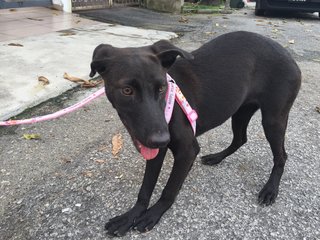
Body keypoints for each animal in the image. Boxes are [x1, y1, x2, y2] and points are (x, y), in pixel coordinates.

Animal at [89, 31, 302, 236]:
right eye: (127, 90)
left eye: (162, 88)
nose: (161, 139)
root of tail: (289, 56)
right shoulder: (157, 150)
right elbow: (146, 187)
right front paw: (132, 214)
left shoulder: (187, 151)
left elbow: (169, 189)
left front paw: (153, 214)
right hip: (240, 111)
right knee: (240, 139)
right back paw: (216, 157)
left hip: (273, 120)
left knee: (281, 155)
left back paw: (270, 189)